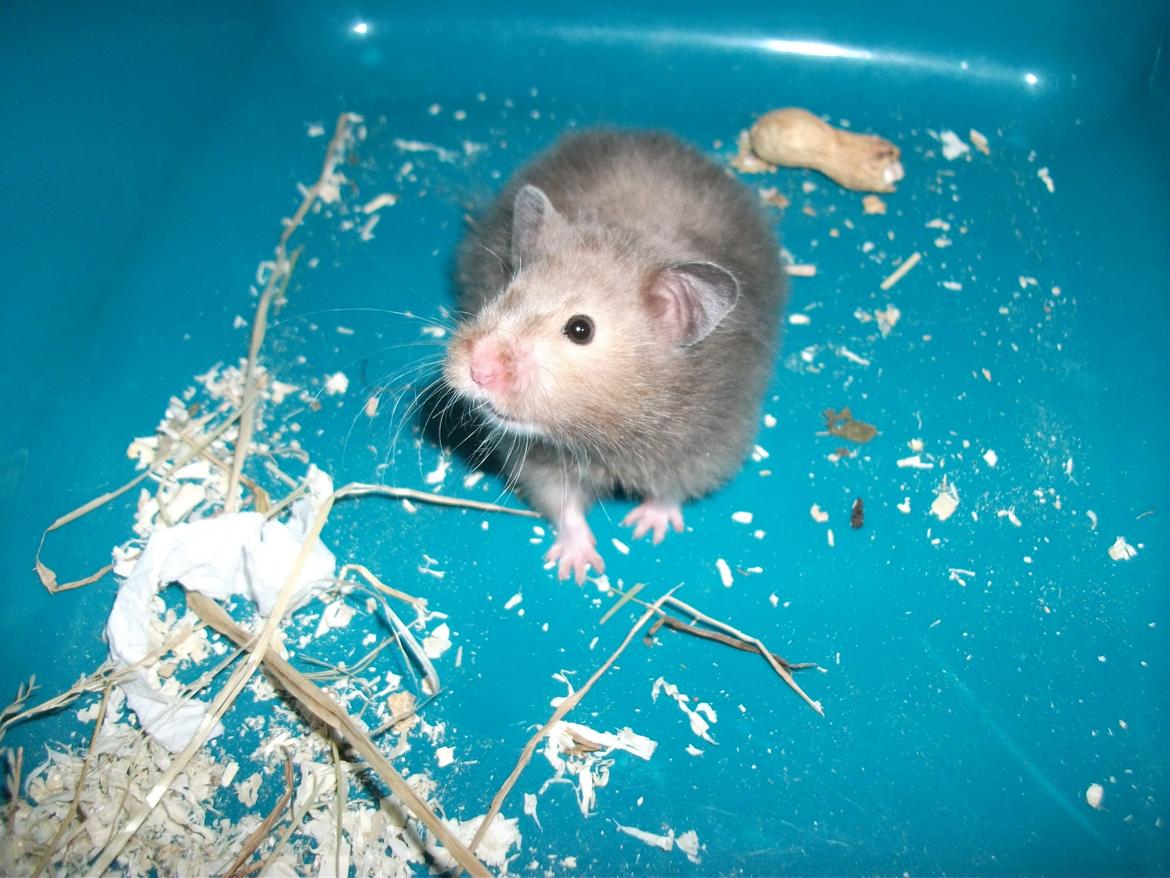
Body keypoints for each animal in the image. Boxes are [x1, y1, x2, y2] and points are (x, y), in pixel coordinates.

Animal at [444, 129, 786, 582]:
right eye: (505, 292)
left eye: (580, 329)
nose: (477, 370)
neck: (604, 435)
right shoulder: (538, 459)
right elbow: (563, 504)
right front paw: (577, 566)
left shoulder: (707, 446)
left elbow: (671, 491)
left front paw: (645, 528)